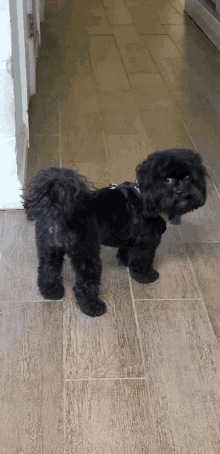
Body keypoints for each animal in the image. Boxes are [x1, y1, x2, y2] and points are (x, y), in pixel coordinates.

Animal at [22, 148, 208, 316]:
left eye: (188, 177)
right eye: (167, 180)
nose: (181, 191)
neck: (145, 196)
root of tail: (59, 208)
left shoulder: (130, 238)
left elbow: (127, 250)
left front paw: (125, 261)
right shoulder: (146, 243)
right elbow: (142, 261)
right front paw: (145, 276)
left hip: (48, 249)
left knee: (48, 270)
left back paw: (51, 291)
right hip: (86, 254)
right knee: (83, 285)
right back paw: (93, 307)